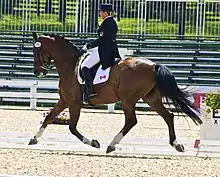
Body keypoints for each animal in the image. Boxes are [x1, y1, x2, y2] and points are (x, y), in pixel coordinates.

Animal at [29, 32, 203, 154]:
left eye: (36, 51)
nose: (38, 72)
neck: (70, 66)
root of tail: (153, 65)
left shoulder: (74, 102)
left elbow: (72, 128)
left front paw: (94, 143)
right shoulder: (64, 100)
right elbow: (50, 117)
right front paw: (33, 139)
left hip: (128, 99)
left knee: (131, 121)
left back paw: (111, 145)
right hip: (151, 98)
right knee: (168, 116)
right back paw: (176, 144)